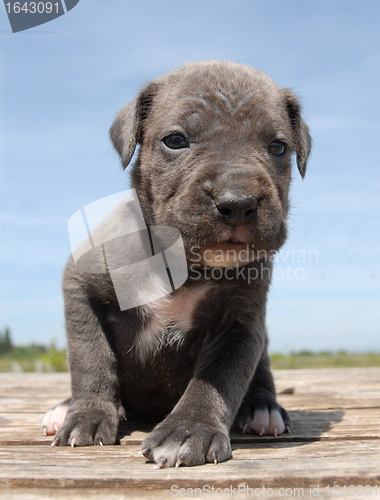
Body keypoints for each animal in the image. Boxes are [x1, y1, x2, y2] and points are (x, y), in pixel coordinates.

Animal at [40, 60, 312, 466]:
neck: (183, 262)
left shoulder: (240, 325)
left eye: (278, 147)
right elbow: (91, 357)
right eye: (175, 140)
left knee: (261, 376)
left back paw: (264, 409)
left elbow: (219, 378)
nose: (237, 201)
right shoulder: (81, 287)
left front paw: (189, 429)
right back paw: (64, 408)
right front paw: (87, 413)